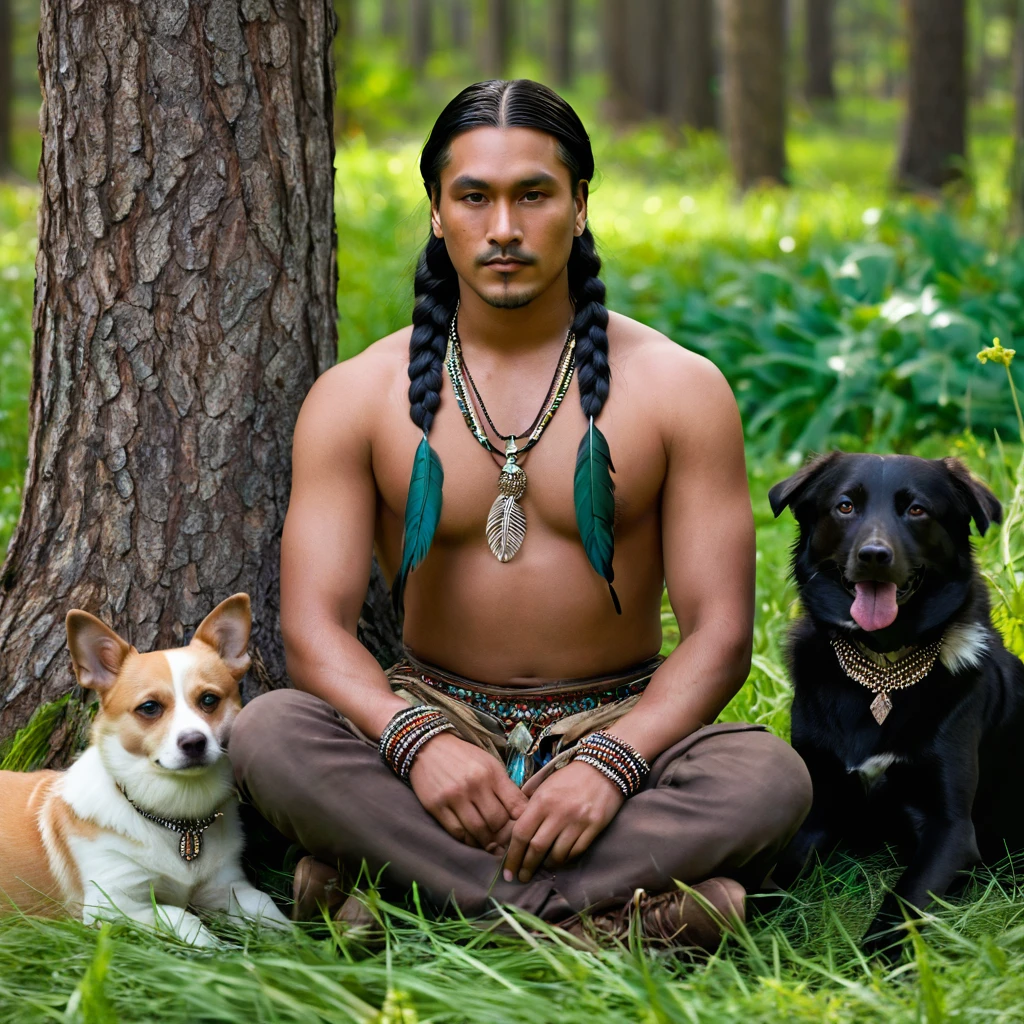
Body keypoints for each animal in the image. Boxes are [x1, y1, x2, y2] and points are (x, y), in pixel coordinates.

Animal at [0, 598, 290, 946]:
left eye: (209, 700)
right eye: (149, 707)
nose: (194, 742)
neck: (179, 820)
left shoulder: (228, 886)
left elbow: (268, 909)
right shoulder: (112, 904)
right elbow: (183, 916)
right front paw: (215, 949)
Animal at [770, 452, 1024, 954]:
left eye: (917, 510)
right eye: (845, 506)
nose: (874, 556)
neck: (881, 669)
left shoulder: (951, 830)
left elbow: (899, 908)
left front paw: (867, 965)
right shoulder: (817, 805)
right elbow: (764, 879)